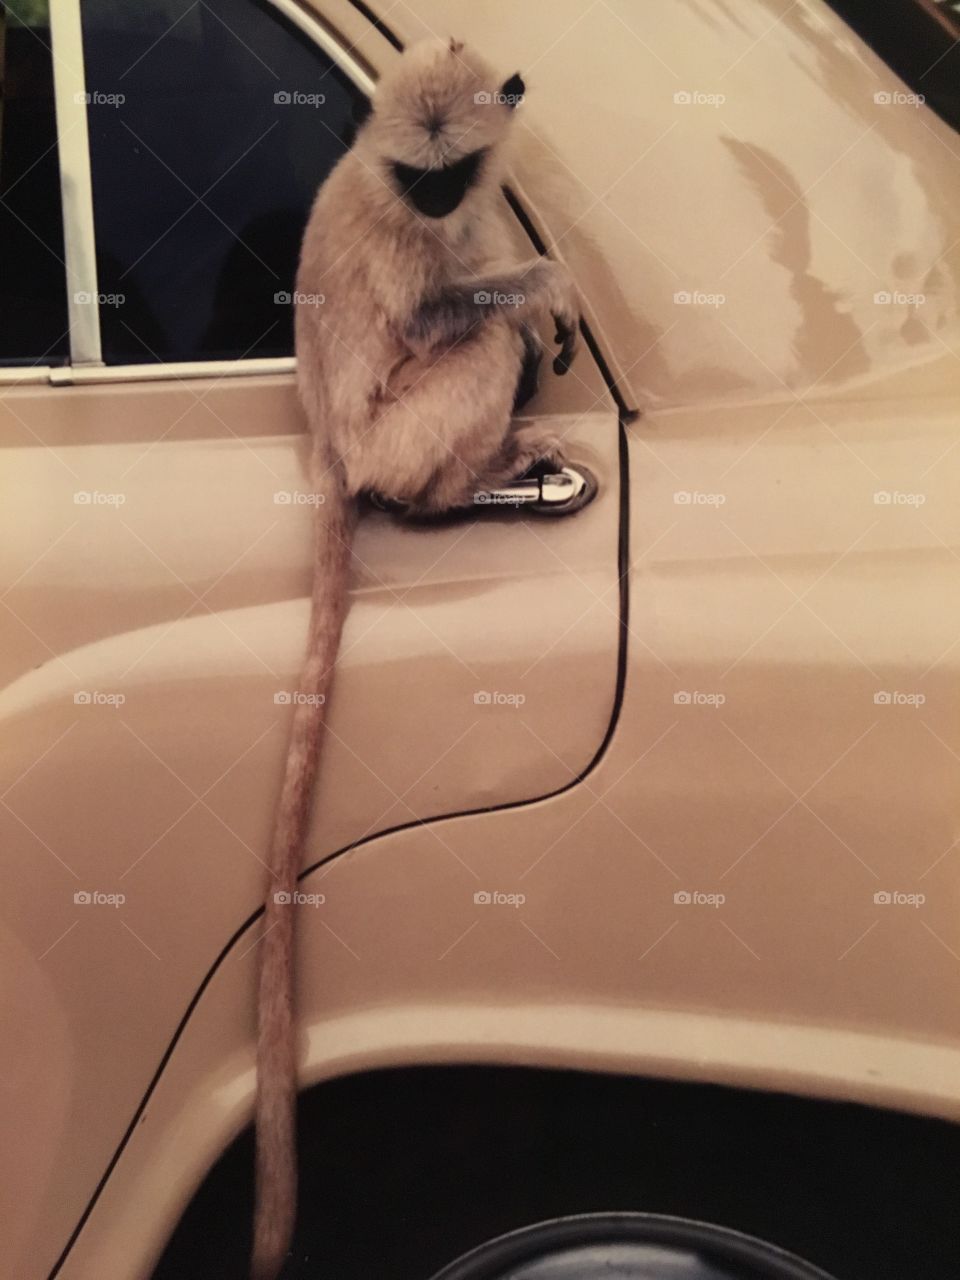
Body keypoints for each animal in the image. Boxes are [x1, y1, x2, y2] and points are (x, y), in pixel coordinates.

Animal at [253, 36, 580, 1279]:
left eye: (451, 177)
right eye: (416, 183)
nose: (441, 210)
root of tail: (332, 454)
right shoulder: (405, 237)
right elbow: (448, 312)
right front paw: (545, 290)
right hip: (394, 438)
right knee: (475, 338)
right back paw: (467, 478)